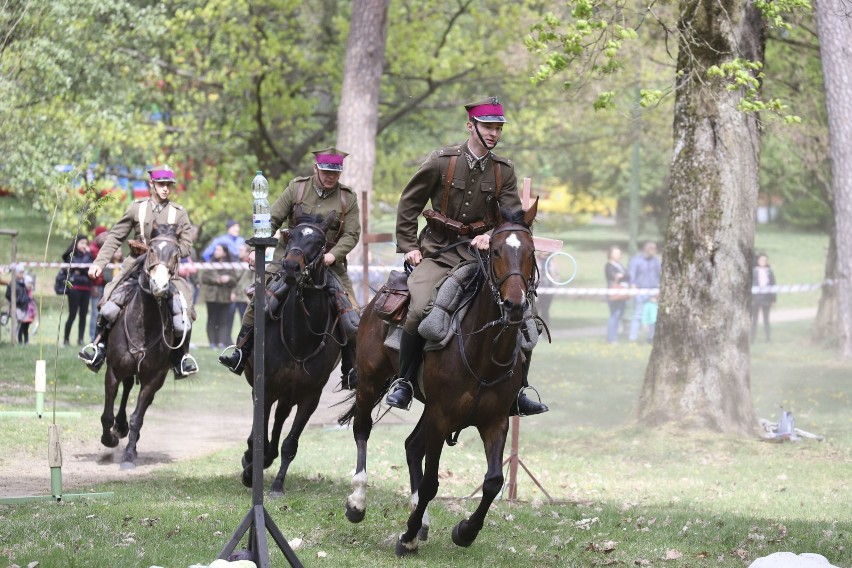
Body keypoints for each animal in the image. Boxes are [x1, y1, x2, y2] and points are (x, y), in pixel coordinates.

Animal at [99, 225, 191, 470]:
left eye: (176, 254)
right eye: (150, 250)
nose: (159, 286)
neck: (143, 324)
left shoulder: (153, 378)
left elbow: (137, 418)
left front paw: (129, 455)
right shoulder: (113, 370)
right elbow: (107, 414)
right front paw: (109, 439)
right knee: (127, 387)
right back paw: (118, 429)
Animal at [240, 210, 346, 496]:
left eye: (319, 242)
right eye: (291, 235)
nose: (290, 268)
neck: (300, 338)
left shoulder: (310, 396)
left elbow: (290, 443)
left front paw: (277, 484)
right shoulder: (265, 388)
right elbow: (259, 433)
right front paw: (250, 468)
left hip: (290, 393)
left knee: (280, 420)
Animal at [342, 202, 536, 556]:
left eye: (530, 252)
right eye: (496, 251)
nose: (515, 305)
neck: (482, 351)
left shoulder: (495, 420)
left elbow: (493, 481)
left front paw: (465, 531)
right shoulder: (442, 415)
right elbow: (432, 481)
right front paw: (406, 535)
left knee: (412, 446)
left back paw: (421, 521)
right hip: (370, 382)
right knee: (363, 429)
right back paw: (358, 502)